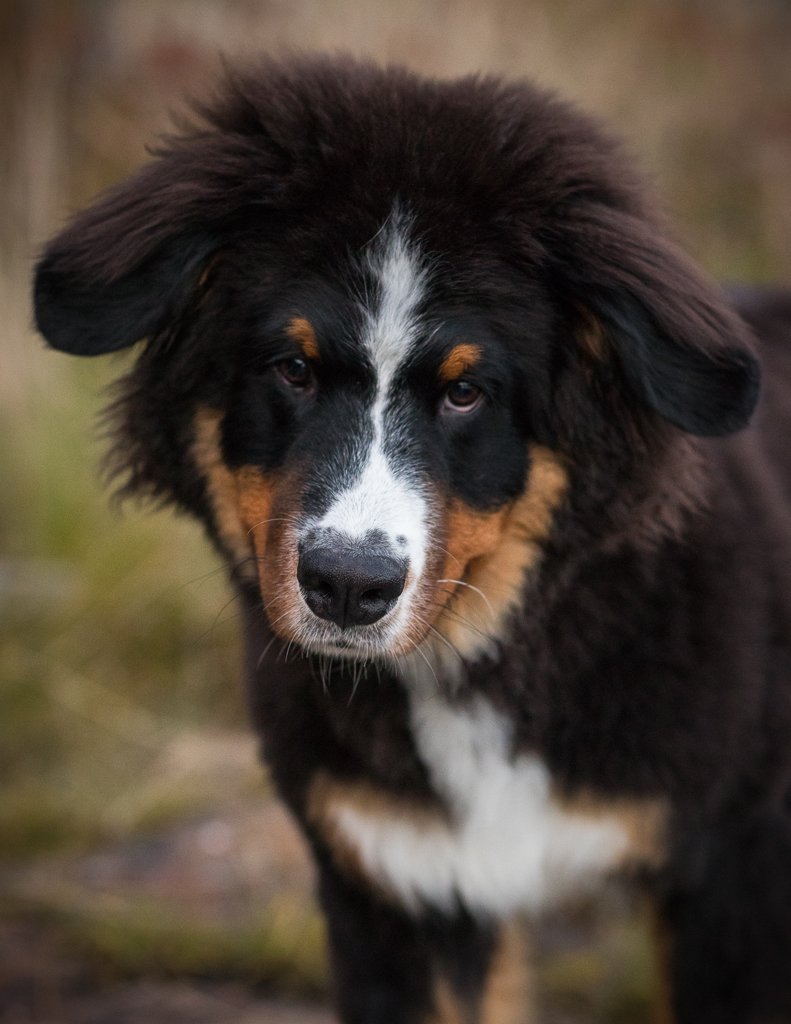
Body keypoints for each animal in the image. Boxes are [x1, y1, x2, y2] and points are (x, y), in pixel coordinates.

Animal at [33, 55, 791, 1023]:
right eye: (293, 367)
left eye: (465, 392)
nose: (347, 587)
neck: (481, 664)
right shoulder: (402, 880)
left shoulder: (733, 867)